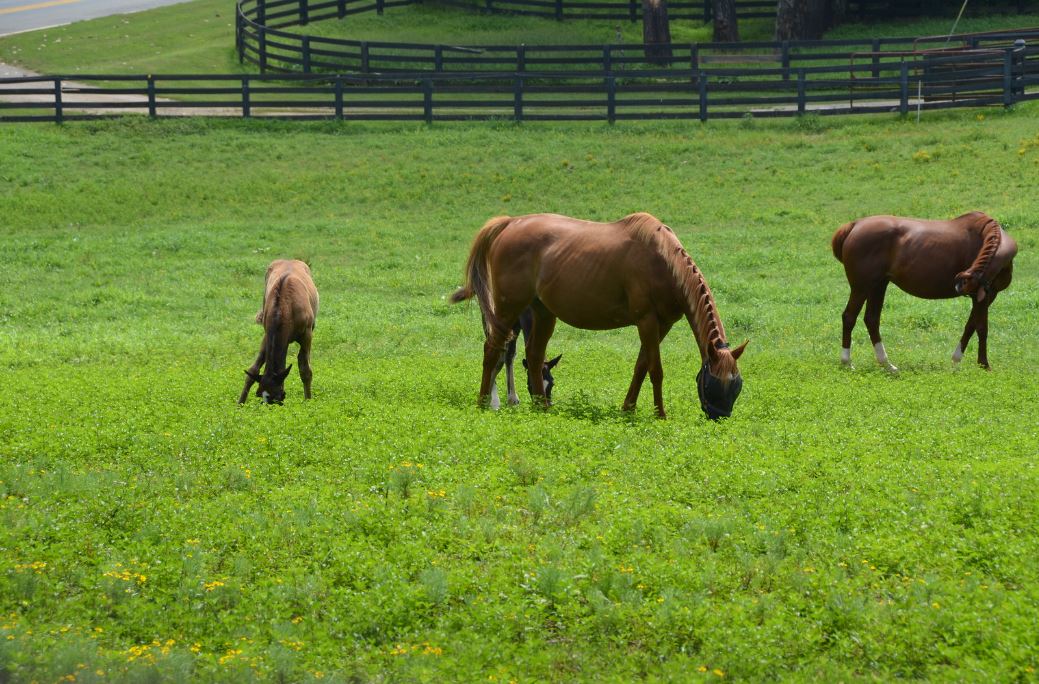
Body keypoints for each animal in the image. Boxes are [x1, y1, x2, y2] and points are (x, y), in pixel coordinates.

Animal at [238, 259, 319, 404]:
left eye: (277, 397)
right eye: (259, 395)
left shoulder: (307, 334)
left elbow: (305, 369)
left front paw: (308, 401)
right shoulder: (267, 333)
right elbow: (253, 369)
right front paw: (240, 403)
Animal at [451, 213, 747, 420]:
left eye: (737, 385)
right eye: (712, 383)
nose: (719, 417)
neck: (664, 263)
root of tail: (510, 223)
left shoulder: (661, 325)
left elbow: (641, 366)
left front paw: (628, 409)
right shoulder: (647, 321)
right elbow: (655, 370)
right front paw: (660, 414)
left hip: (543, 313)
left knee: (534, 357)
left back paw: (542, 407)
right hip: (508, 309)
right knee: (494, 350)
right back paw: (484, 402)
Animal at [831, 211, 1017, 371]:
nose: (958, 286)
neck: (984, 237)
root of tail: (855, 225)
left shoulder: (985, 295)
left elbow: (971, 325)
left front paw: (957, 360)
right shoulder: (985, 295)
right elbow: (981, 327)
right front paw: (984, 365)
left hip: (878, 285)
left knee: (871, 319)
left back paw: (887, 365)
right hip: (861, 287)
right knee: (849, 317)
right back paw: (847, 362)